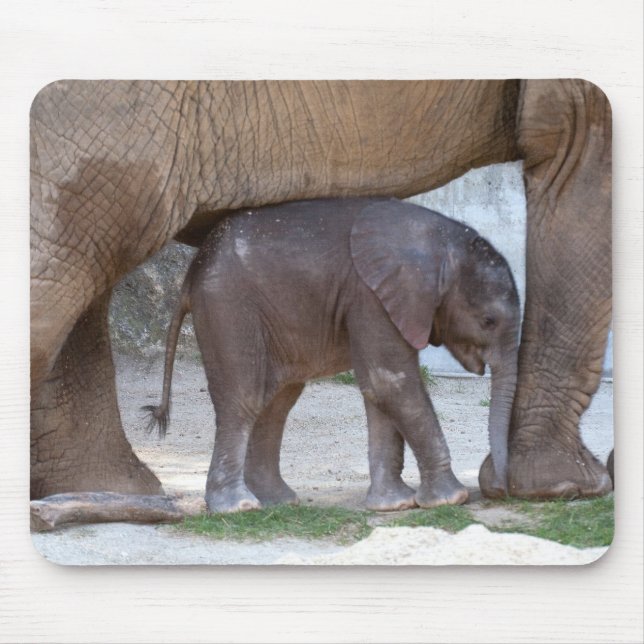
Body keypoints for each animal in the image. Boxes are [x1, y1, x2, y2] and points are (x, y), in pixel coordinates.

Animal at [144, 197, 521, 512]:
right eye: (488, 321)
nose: (498, 486)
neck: (439, 241)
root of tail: (191, 273)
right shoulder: (371, 297)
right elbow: (390, 383)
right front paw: (450, 499)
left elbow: (378, 390)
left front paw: (393, 505)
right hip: (227, 307)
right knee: (245, 398)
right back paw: (239, 507)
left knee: (277, 402)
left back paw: (278, 501)